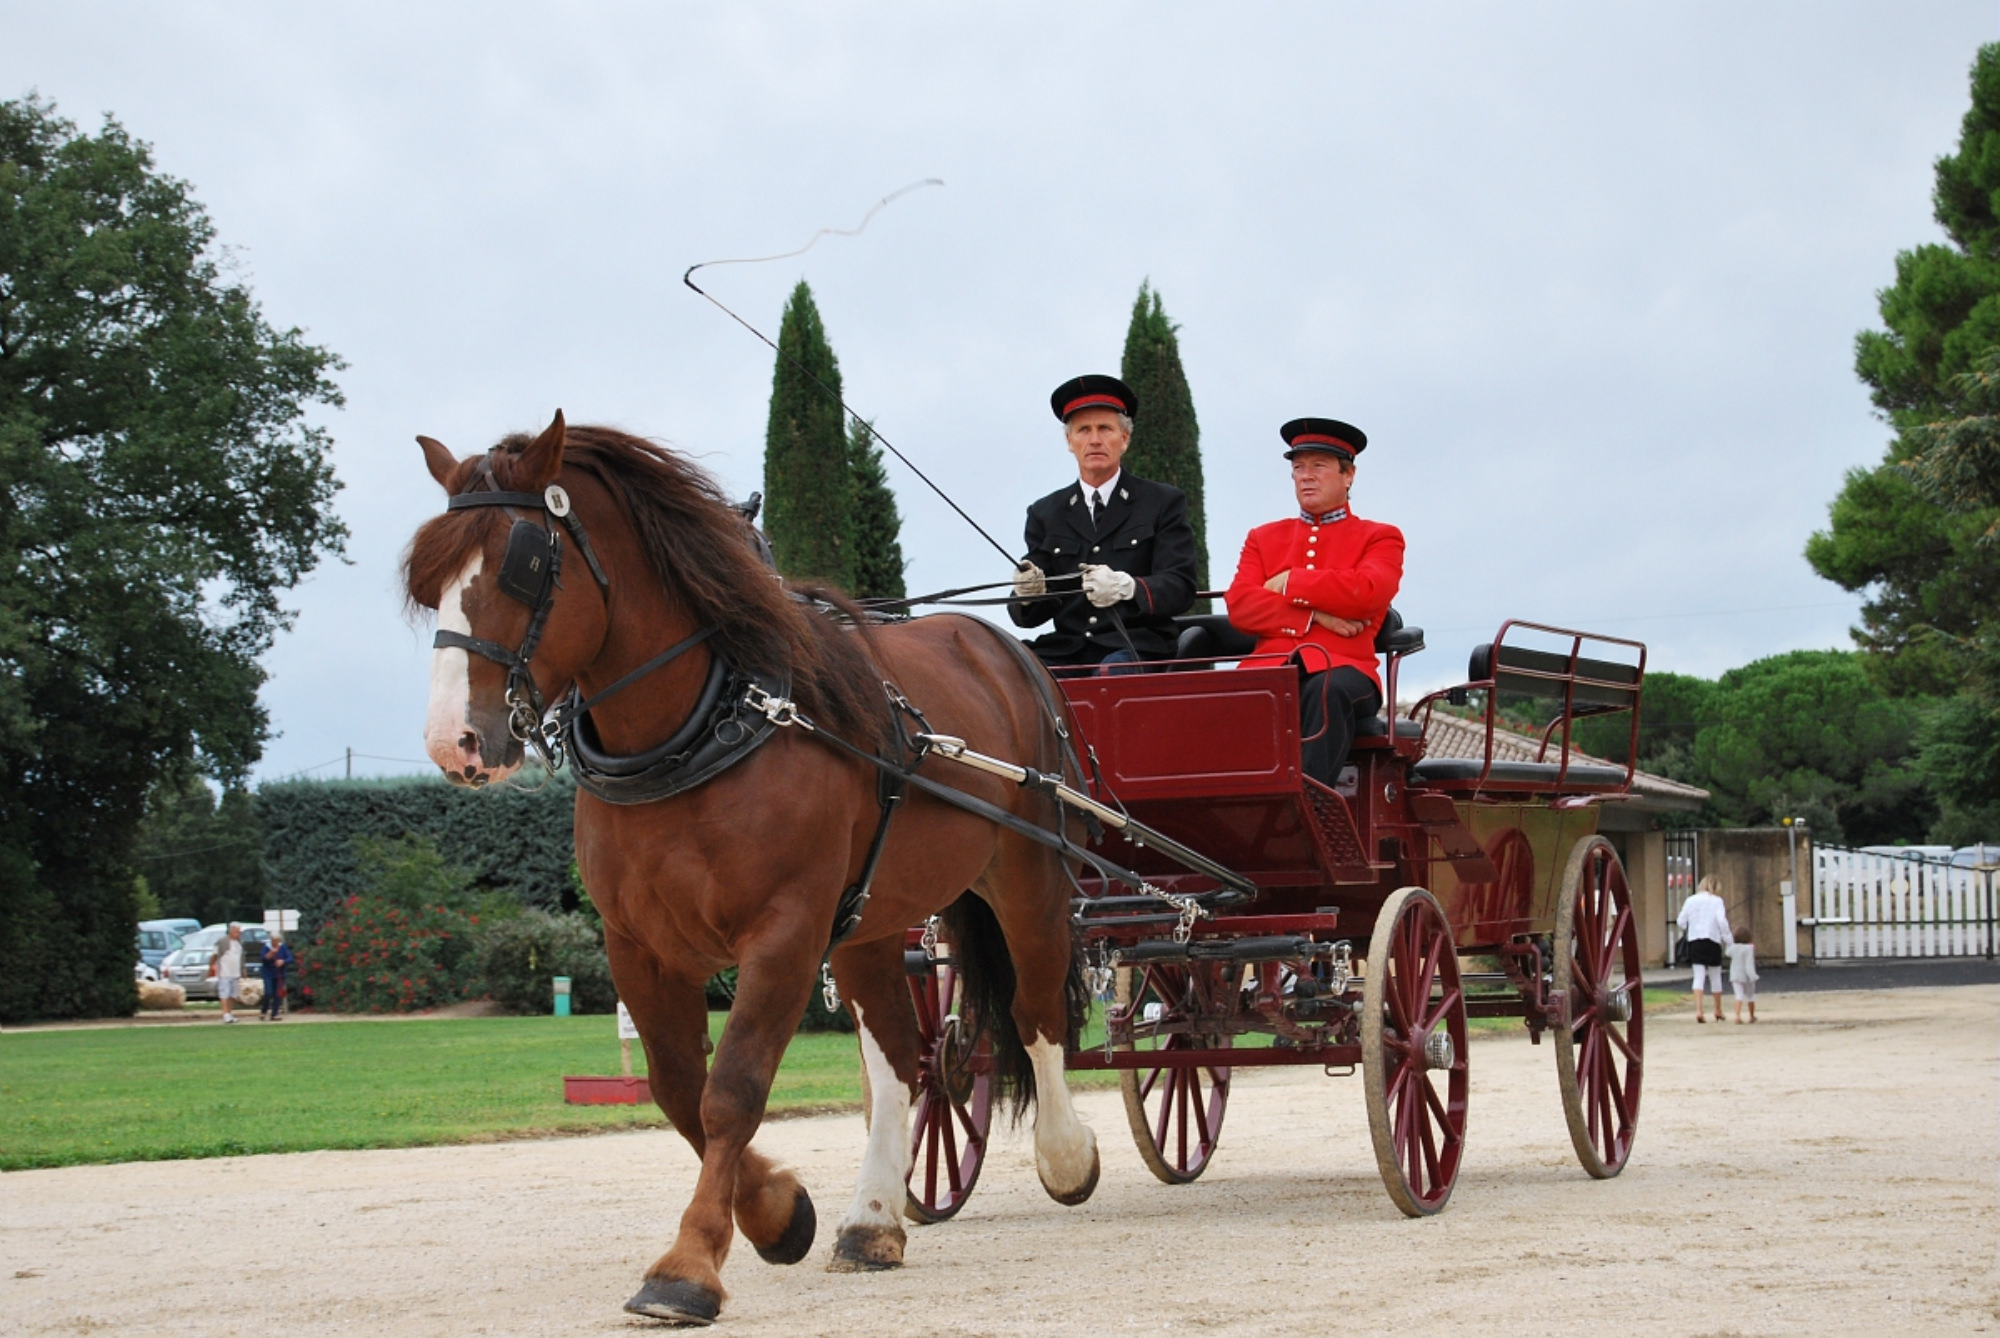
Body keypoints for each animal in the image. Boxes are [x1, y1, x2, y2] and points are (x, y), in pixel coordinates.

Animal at [400, 412, 1104, 1320]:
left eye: (523, 562)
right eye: (429, 578)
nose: (453, 742)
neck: (702, 729)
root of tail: (995, 643)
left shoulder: (785, 933)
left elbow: (730, 1088)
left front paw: (687, 1266)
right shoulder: (638, 947)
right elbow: (676, 1087)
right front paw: (779, 1213)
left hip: (1028, 875)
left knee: (1036, 1006)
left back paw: (1065, 1155)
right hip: (871, 921)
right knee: (899, 1051)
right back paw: (872, 1220)